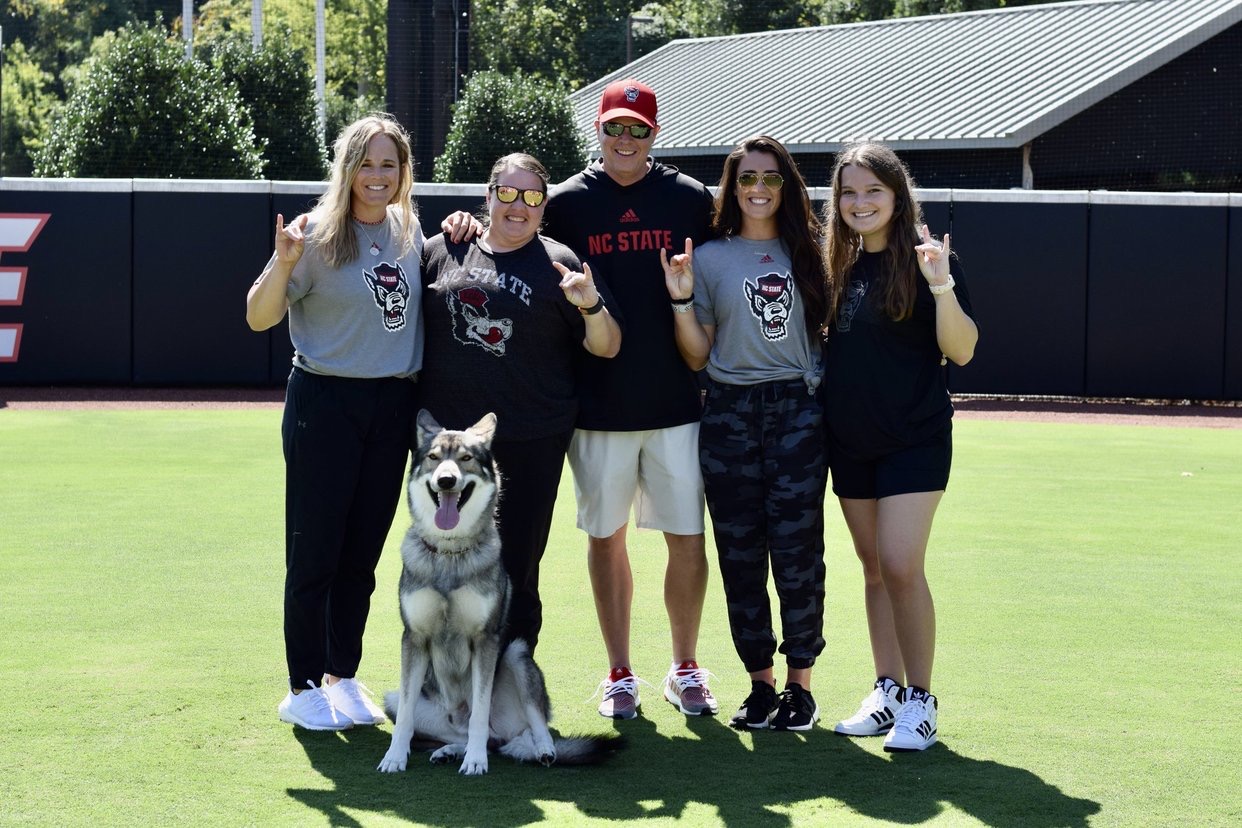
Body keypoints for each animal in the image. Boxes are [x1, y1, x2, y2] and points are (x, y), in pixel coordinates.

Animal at [375, 412, 613, 774]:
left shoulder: (485, 640)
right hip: (395, 699)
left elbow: (480, 709)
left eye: (465, 459)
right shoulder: (413, 639)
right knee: (473, 735)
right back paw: (450, 750)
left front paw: (475, 762)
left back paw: (542, 750)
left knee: (525, 728)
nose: (446, 480)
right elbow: (404, 718)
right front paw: (394, 757)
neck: (451, 553)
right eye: (434, 458)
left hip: (516, 653)